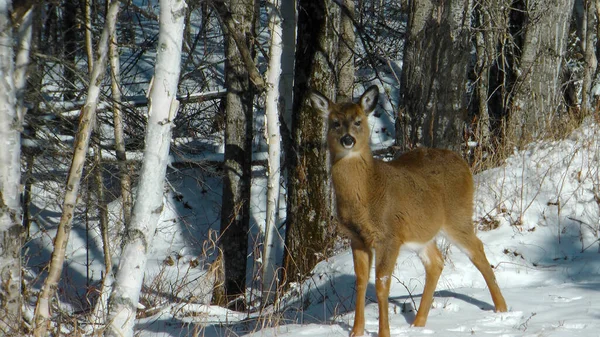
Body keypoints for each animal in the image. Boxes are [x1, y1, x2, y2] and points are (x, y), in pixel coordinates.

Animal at [312, 86, 508, 336]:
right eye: (335, 122)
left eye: (358, 121)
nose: (348, 140)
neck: (367, 192)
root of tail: (463, 162)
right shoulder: (356, 237)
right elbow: (361, 281)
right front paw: (356, 331)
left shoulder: (389, 235)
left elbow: (382, 283)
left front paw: (384, 332)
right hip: (421, 233)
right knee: (436, 261)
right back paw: (418, 322)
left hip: (457, 217)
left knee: (477, 249)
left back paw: (502, 309)